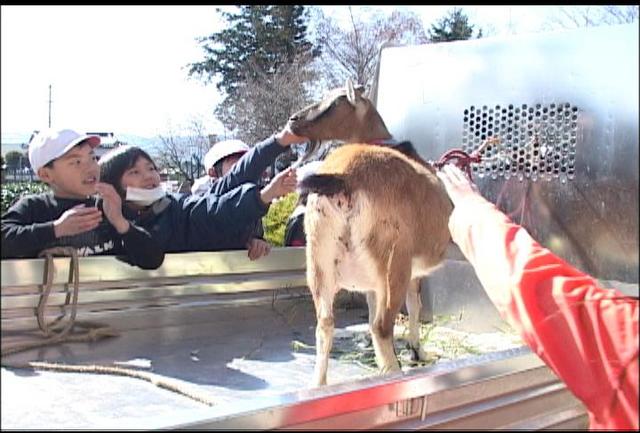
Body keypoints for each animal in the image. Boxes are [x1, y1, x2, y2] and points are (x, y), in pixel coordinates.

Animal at [288, 78, 452, 384]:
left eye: (335, 101)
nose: (293, 121)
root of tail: (343, 177)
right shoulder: (412, 271)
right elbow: (414, 306)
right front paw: (418, 352)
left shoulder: (371, 285)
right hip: (392, 262)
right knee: (382, 326)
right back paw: (394, 374)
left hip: (319, 261)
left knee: (325, 324)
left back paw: (320, 385)